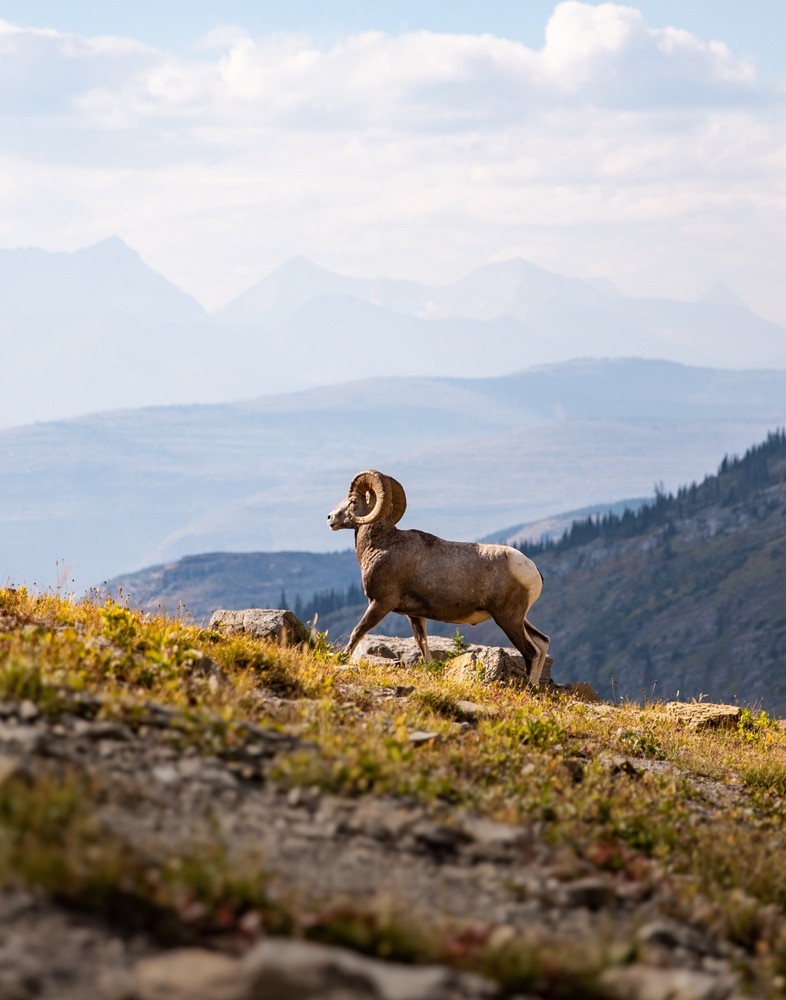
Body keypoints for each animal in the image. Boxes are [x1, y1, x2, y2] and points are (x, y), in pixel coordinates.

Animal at [327, 469, 550, 682]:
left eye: (353, 501)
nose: (330, 518)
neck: (382, 545)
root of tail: (531, 569)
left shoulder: (380, 603)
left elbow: (357, 632)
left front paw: (342, 659)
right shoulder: (415, 615)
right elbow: (423, 646)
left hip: (508, 618)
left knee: (531, 652)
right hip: (518, 618)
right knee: (542, 642)